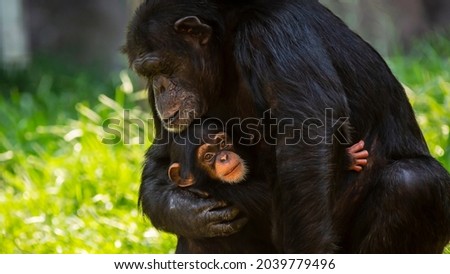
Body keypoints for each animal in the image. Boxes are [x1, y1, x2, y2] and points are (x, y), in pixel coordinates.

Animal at [125, 0, 450, 253]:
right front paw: (179, 210)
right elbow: (165, 151)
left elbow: (305, 141)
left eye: (161, 67)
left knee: (412, 183)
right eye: (147, 73)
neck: (226, 43)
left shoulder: (272, 32)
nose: (159, 88)